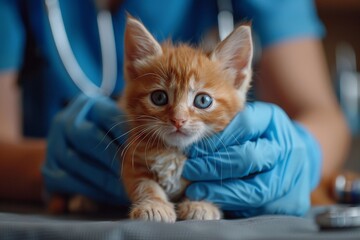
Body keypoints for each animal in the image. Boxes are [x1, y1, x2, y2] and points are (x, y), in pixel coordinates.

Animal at [121, 16, 253, 223]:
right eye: (159, 97)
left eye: (203, 100)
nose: (178, 120)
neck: (175, 152)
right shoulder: (133, 159)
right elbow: (144, 184)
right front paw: (154, 205)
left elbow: (206, 185)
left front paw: (200, 205)